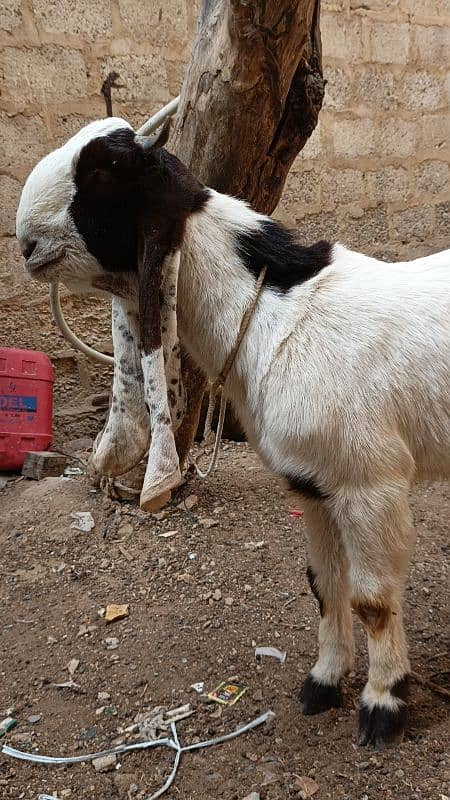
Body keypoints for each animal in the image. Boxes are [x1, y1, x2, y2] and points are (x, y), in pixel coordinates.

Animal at [15, 119, 448, 752]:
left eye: (105, 170)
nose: (25, 244)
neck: (276, 312)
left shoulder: (370, 481)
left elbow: (371, 600)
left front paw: (383, 705)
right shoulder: (312, 483)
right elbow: (325, 585)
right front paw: (323, 684)